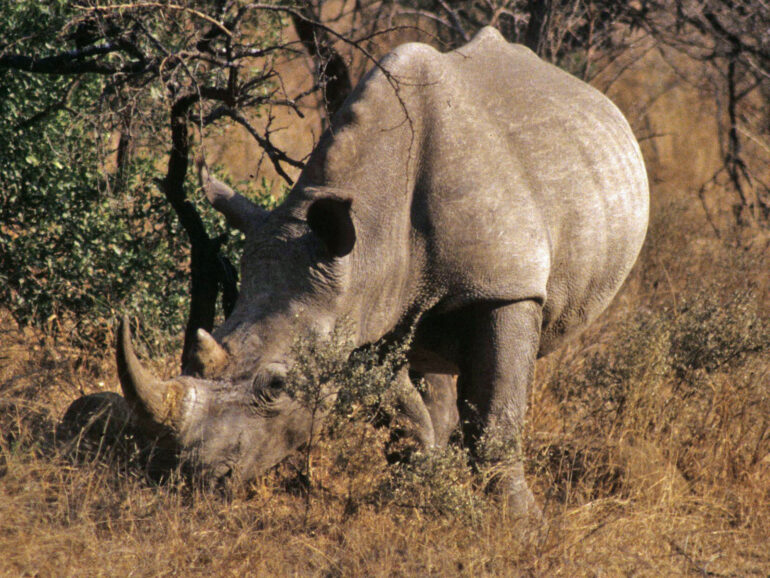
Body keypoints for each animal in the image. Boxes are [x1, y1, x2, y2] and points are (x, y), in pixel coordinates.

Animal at [117, 27, 648, 514]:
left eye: (277, 387)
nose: (192, 477)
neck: (369, 239)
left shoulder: (505, 287)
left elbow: (496, 416)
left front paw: (519, 523)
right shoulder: (358, 310)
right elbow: (401, 411)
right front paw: (420, 488)